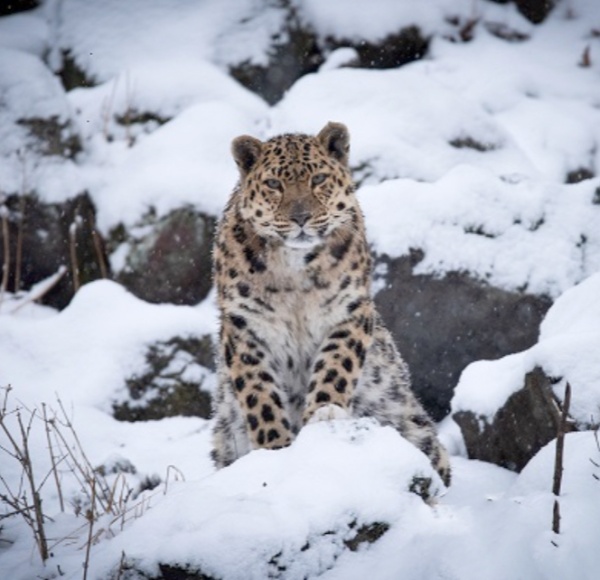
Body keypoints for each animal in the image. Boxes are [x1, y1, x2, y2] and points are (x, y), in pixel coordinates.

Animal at [211, 121, 450, 484]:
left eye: (319, 179)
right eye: (274, 184)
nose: (301, 217)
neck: (293, 273)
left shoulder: (349, 311)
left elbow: (335, 367)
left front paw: (324, 415)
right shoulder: (245, 326)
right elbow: (260, 395)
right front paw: (275, 447)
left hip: (416, 429)